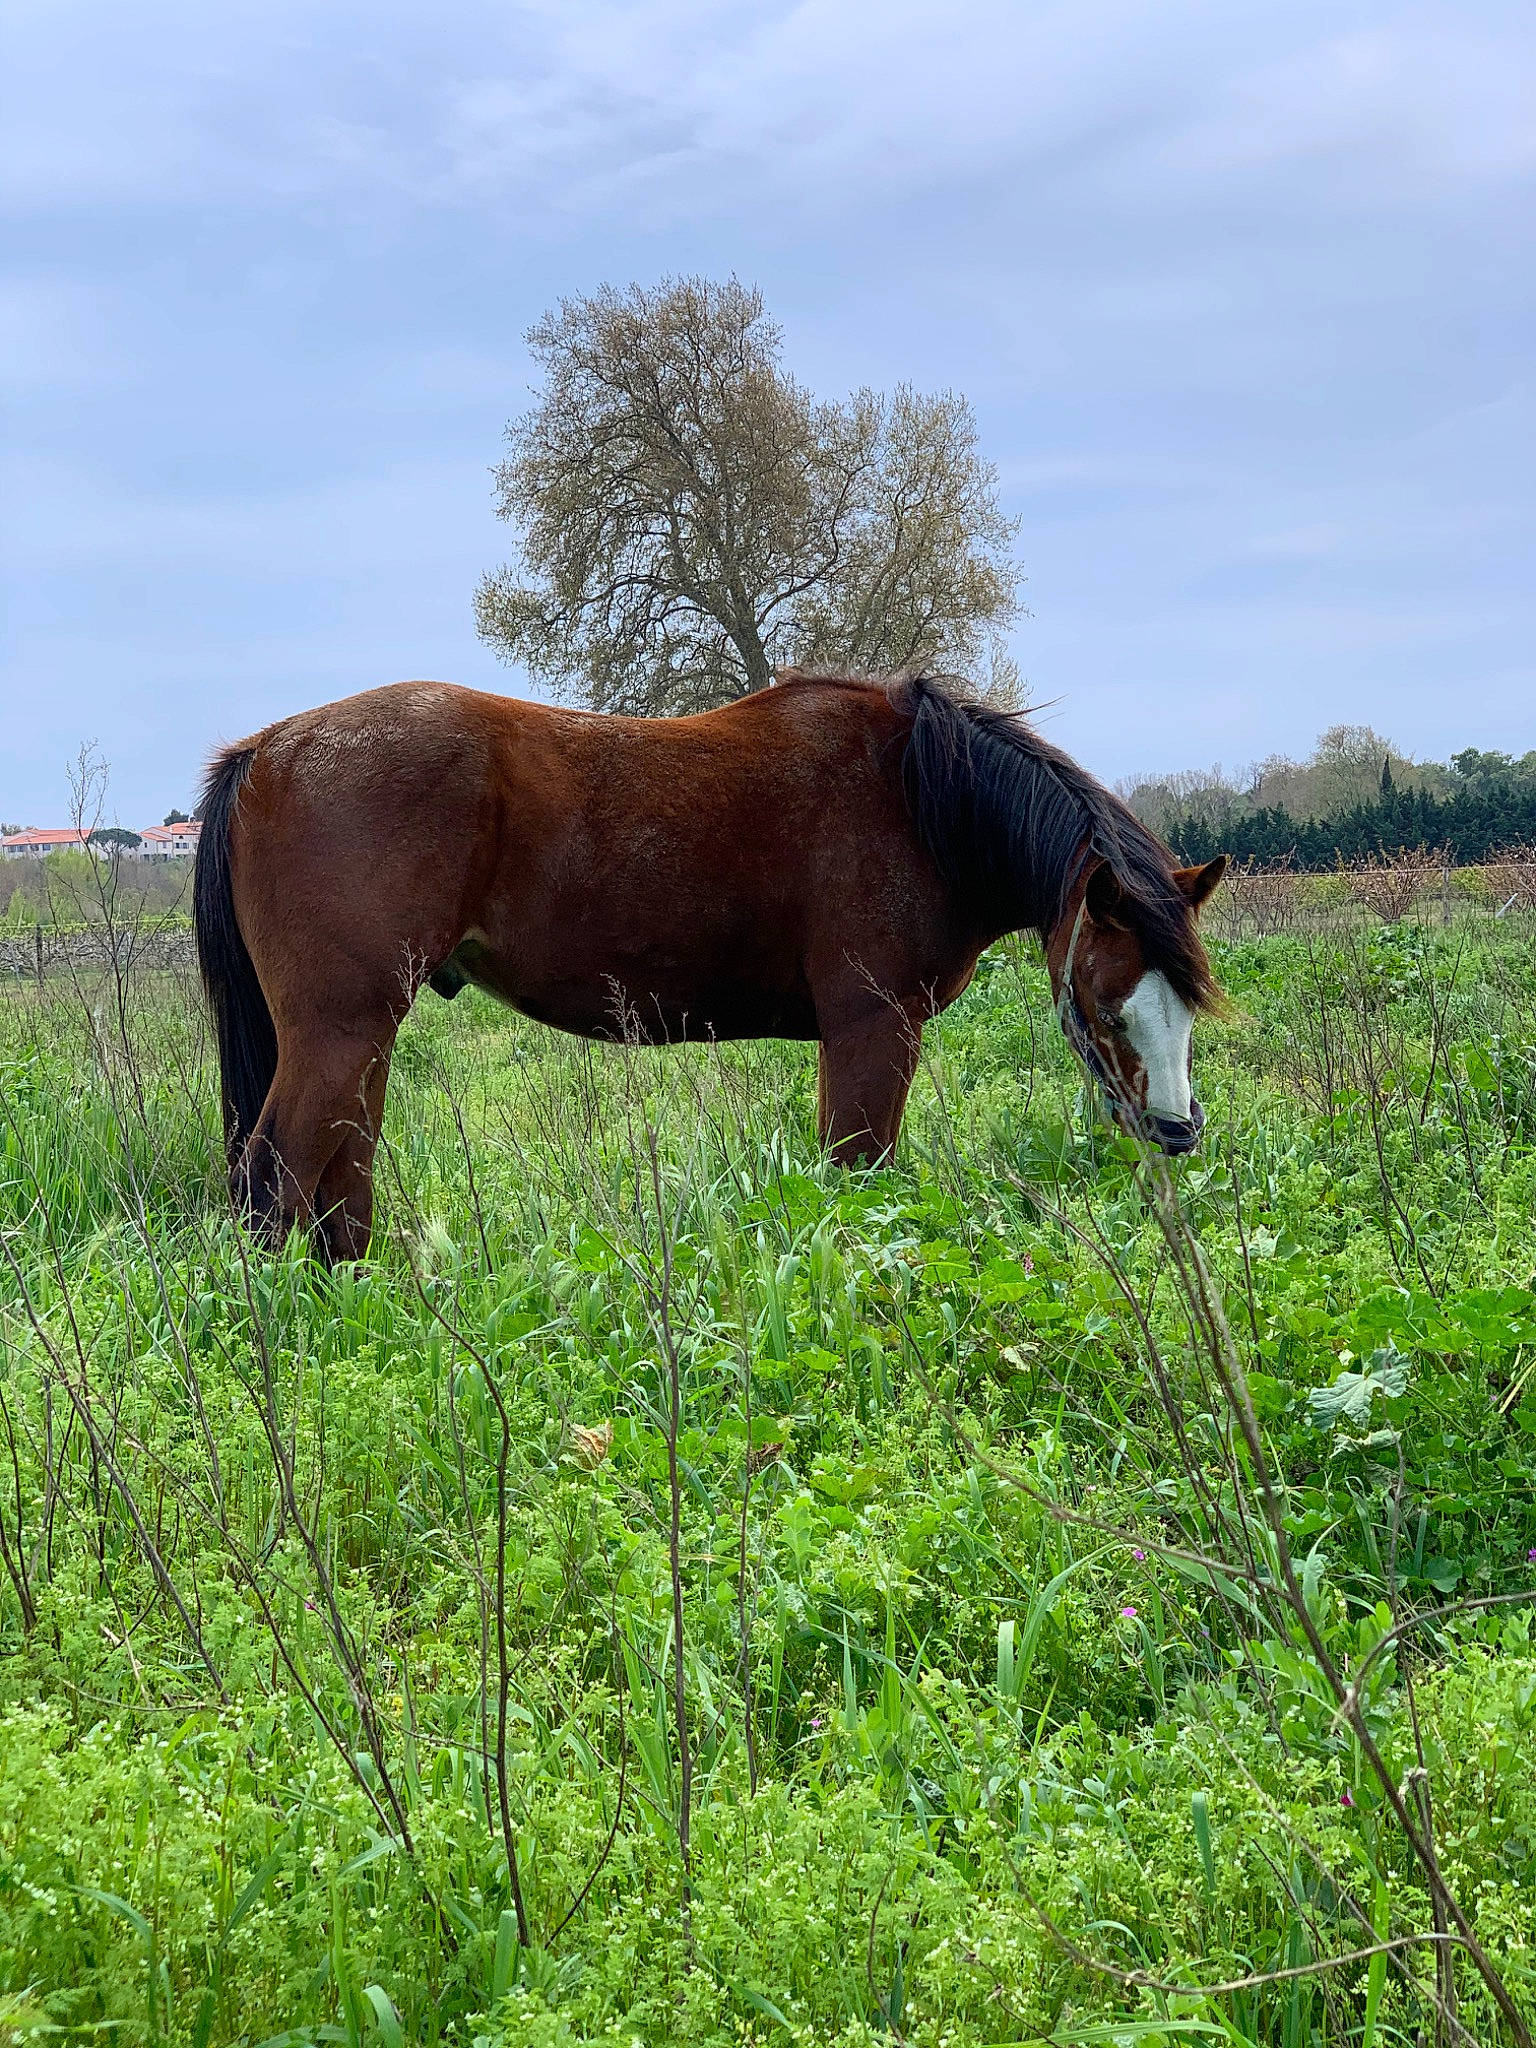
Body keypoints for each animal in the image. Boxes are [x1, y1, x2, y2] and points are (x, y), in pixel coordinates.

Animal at [194, 670, 1227, 1262]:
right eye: (1105, 1003)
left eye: (1187, 1008)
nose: (1175, 1134)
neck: (919, 800)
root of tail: (267, 749)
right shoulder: (874, 1030)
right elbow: (863, 1170)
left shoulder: (848, 1042)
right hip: (340, 1029)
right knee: (275, 1173)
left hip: (363, 1034)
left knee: (340, 1174)